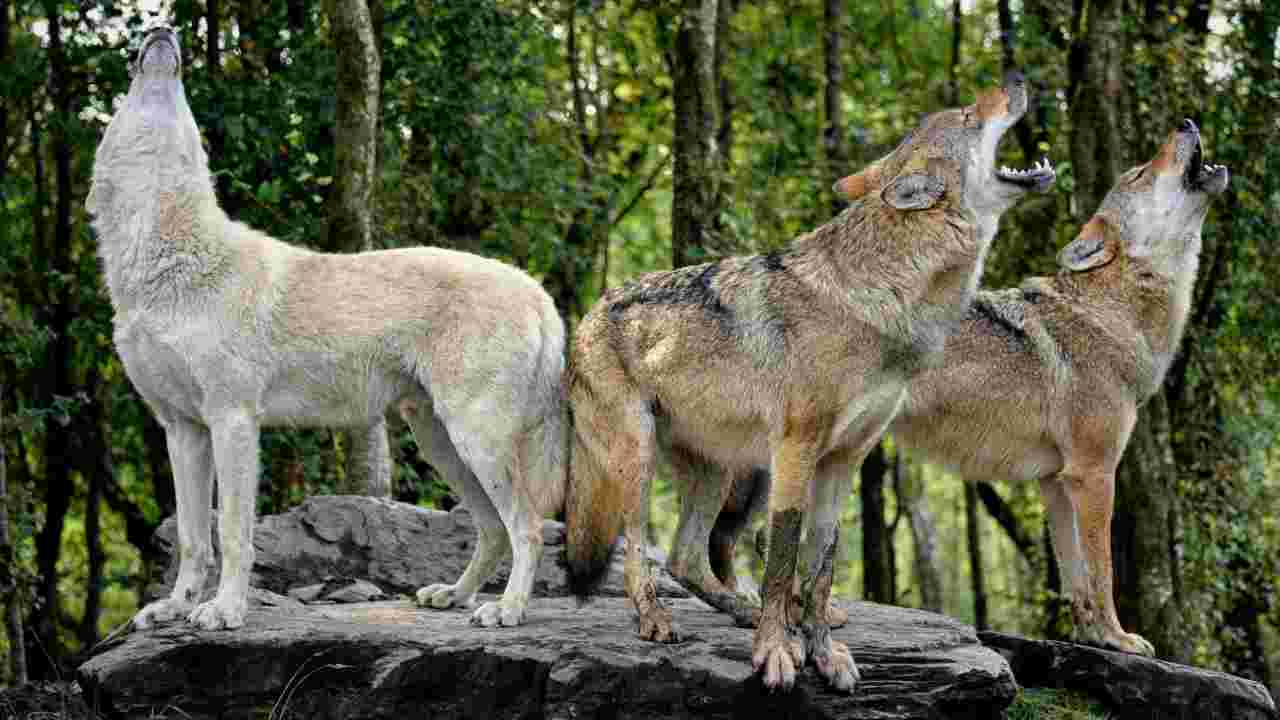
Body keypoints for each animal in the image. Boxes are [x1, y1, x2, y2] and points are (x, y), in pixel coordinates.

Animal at [87, 26, 568, 627]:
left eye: (183, 100)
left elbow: (233, 534)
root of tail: (536, 291)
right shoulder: (181, 430)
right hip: (441, 442)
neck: (166, 259)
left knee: (527, 526)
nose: (164, 31)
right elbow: (195, 539)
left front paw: (224, 611)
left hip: (475, 438)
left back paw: (506, 611)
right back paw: (455, 596)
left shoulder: (233, 422)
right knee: (492, 529)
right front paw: (176, 607)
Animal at [565, 74, 1054, 691]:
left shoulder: (845, 460)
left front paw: (821, 650)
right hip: (641, 457)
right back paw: (655, 618)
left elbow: (820, 565)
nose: (1019, 78)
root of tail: (587, 311)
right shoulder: (796, 451)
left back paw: (740, 610)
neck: (884, 300)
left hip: (723, 473)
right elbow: (782, 558)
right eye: (969, 115)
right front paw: (776, 650)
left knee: (685, 558)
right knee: (638, 550)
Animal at [691, 116, 1228, 655]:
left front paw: (1094, 636)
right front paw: (1120, 638)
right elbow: (1102, 570)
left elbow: (1075, 577)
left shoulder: (1056, 483)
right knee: (749, 540)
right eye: (1139, 173)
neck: (1110, 315)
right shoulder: (1093, 475)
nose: (1186, 122)